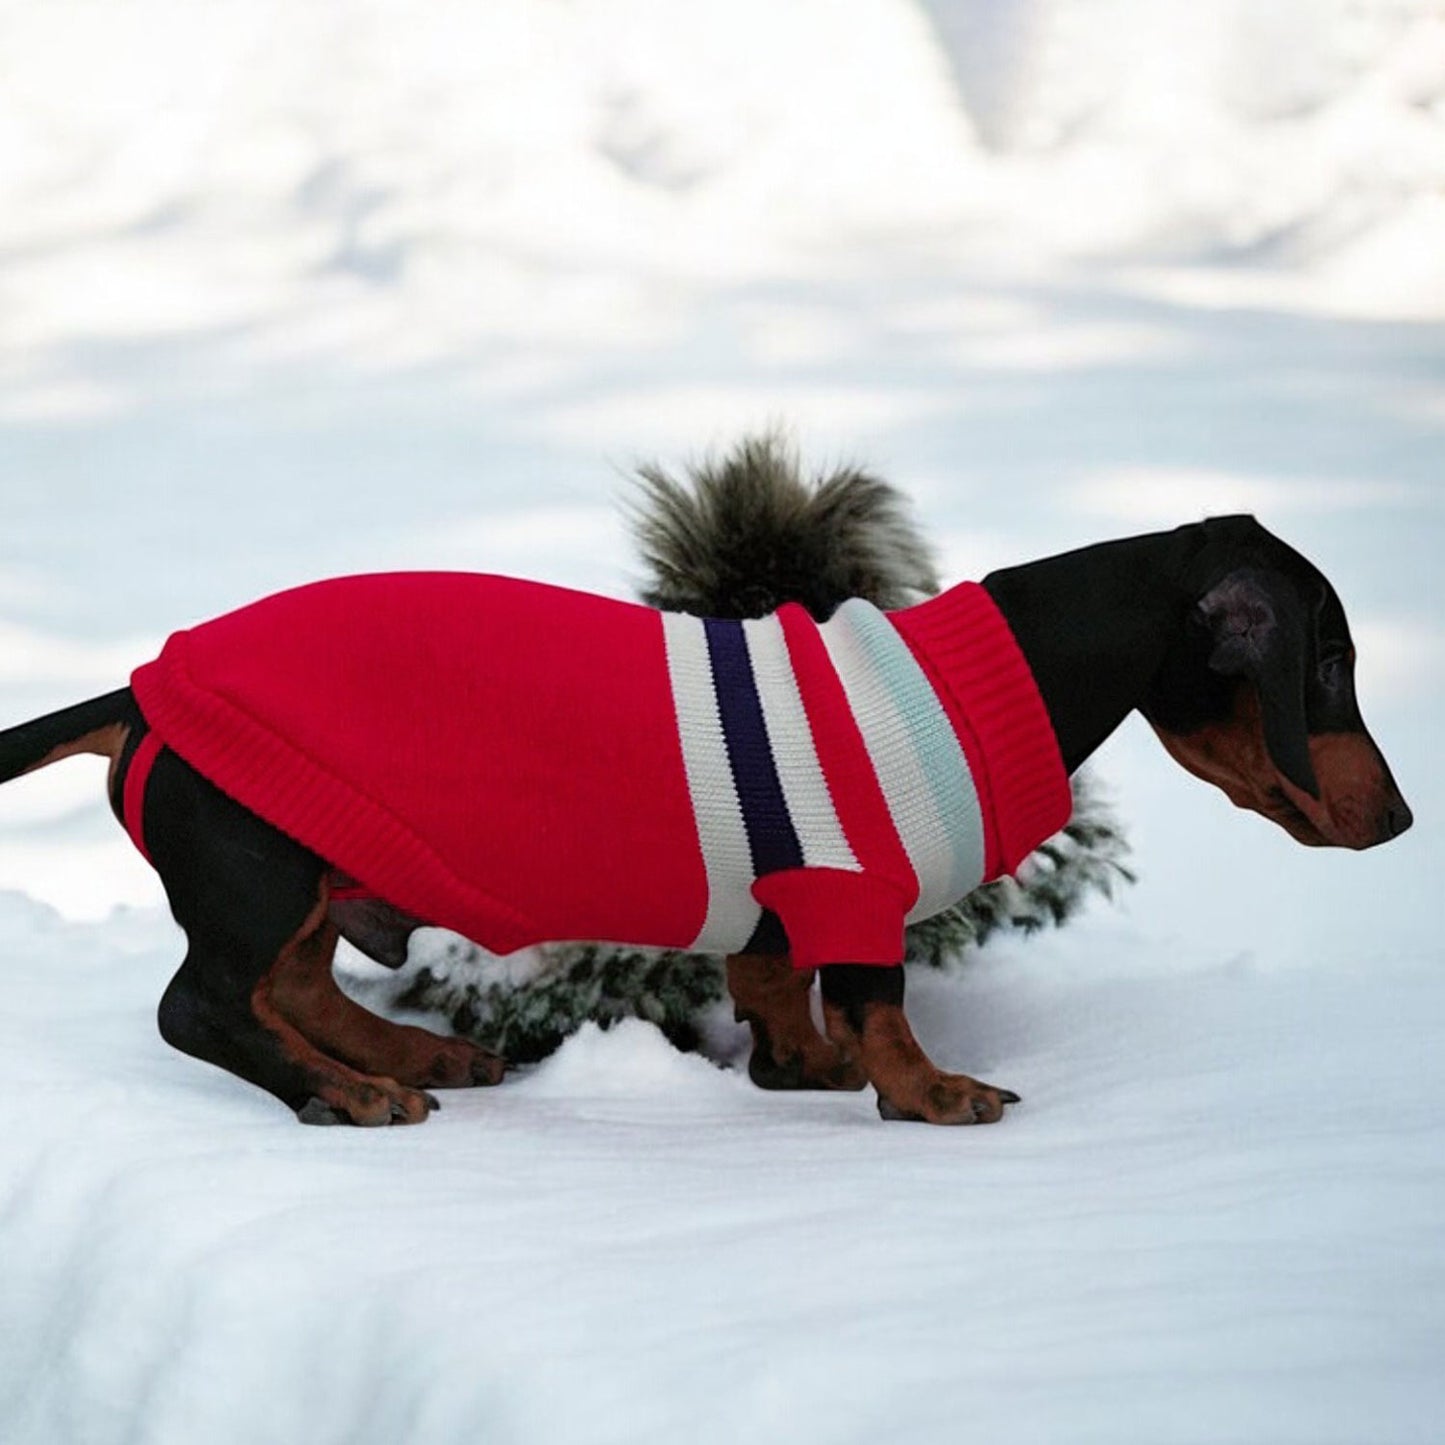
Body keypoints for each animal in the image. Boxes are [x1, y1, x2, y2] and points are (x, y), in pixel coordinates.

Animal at [0, 508, 1410, 1127]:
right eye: (1327, 663)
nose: (1401, 820)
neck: (988, 672)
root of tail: (143, 689)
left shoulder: (780, 908)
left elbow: (780, 997)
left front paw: (809, 1069)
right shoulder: (852, 889)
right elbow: (881, 1000)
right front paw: (924, 1089)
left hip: (303, 865)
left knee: (286, 986)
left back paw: (408, 1056)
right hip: (261, 858)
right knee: (203, 1007)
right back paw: (346, 1092)